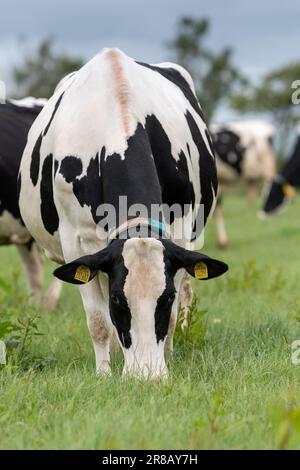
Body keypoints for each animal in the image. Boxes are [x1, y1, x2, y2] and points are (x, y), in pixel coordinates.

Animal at [18, 47, 229, 378]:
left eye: (166, 296)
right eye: (120, 298)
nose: (147, 377)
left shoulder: (180, 231)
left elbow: (171, 316)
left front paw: (166, 360)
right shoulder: (76, 240)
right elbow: (99, 320)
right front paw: (104, 374)